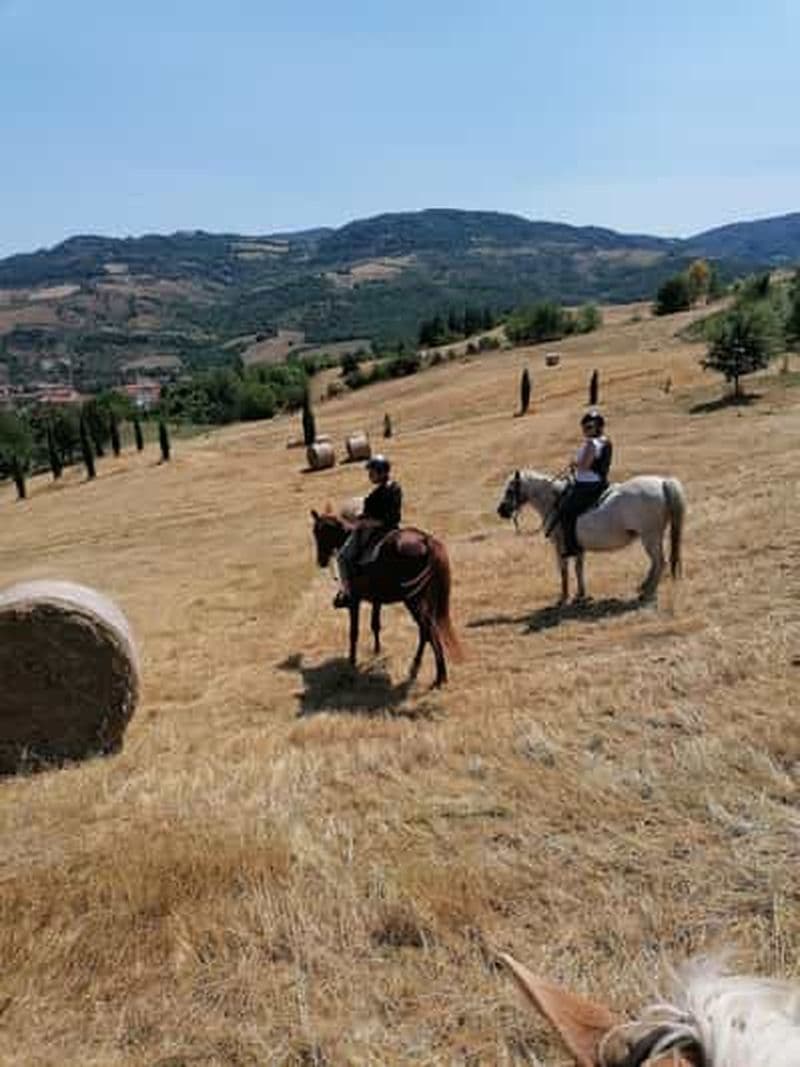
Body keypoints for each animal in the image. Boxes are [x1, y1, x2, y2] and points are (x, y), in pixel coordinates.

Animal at [310, 510, 461, 687]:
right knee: (425, 630)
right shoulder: (377, 600)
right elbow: (375, 624)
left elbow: (354, 632)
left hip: (413, 600)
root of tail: (426, 540)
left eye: (319, 533)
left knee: (428, 629)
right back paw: (417, 666)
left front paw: (352, 662)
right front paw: (377, 651)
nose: (320, 561)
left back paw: (439, 676)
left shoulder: (354, 599)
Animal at [497, 469, 686, 604]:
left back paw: (647, 593)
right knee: (656, 563)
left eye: (510, 490)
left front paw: (563, 597)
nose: (501, 511)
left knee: (660, 562)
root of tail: (662, 483)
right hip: (653, 537)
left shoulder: (560, 546)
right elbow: (579, 569)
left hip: (650, 537)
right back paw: (644, 587)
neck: (556, 502)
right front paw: (581, 594)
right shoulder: (578, 547)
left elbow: (564, 570)